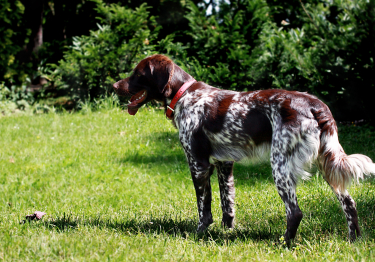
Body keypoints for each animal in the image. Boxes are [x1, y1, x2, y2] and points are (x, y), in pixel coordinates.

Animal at [114, 54, 375, 243]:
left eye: (137, 73)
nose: (115, 85)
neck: (184, 95)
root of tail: (316, 105)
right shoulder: (224, 164)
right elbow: (227, 203)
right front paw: (227, 231)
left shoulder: (198, 165)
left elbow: (204, 207)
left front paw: (199, 234)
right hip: (327, 165)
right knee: (349, 204)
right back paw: (354, 240)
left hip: (280, 166)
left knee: (295, 212)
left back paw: (284, 243)